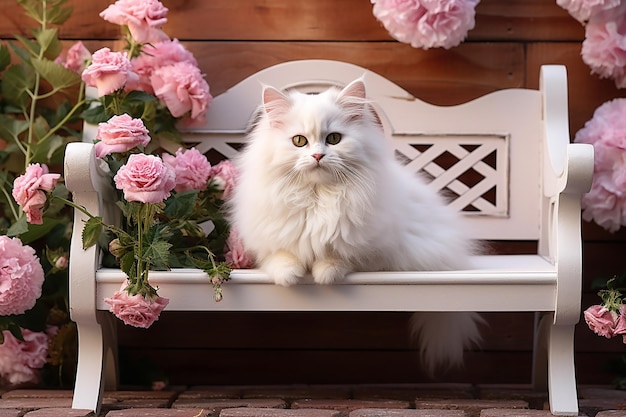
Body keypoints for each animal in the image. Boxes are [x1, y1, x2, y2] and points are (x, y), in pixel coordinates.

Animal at [229, 77, 482, 374]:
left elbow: (342, 255)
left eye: (334, 139)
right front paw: (289, 274)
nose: (317, 156)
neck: (319, 198)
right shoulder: (267, 241)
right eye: (299, 141)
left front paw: (324, 272)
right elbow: (280, 255)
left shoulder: (380, 250)